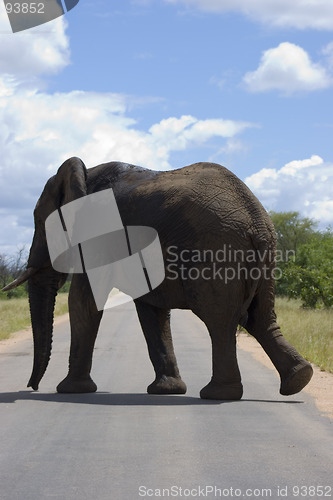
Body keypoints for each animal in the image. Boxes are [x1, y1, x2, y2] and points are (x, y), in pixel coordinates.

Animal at [3, 156, 312, 398]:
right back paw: (299, 379)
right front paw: (168, 390)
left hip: (216, 250)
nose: (31, 387)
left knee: (220, 320)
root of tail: (255, 217)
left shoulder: (99, 234)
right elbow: (151, 308)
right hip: (266, 256)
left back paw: (218, 394)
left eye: (40, 222)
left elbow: (84, 299)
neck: (86, 173)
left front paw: (69, 390)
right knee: (261, 318)